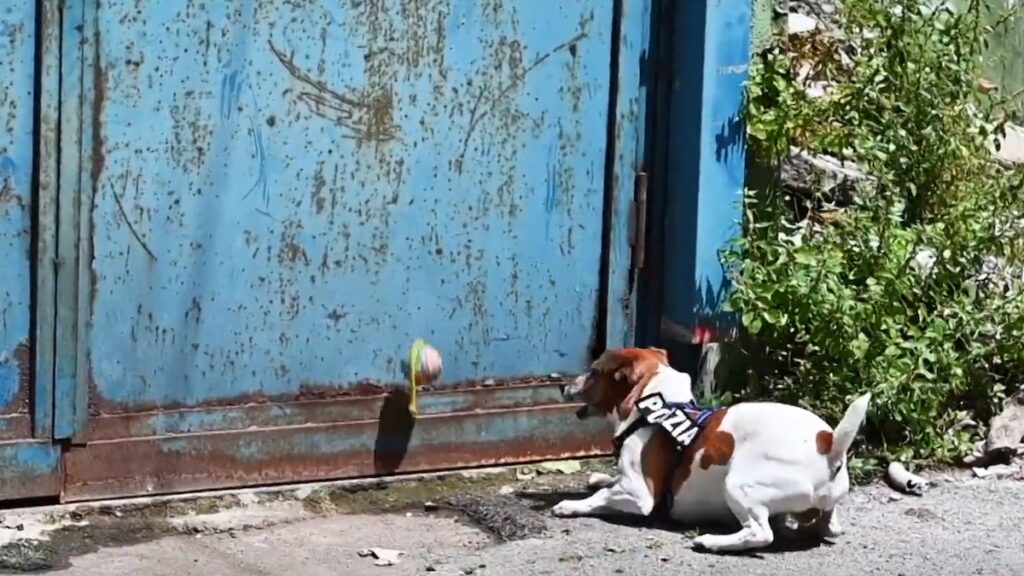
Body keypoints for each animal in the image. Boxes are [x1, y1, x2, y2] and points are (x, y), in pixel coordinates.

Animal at [557, 344, 868, 553]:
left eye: (593, 371)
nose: (562, 385)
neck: (656, 403)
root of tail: (829, 445)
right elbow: (608, 483)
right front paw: (600, 477)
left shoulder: (639, 493)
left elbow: (601, 497)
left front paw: (571, 505)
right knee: (830, 526)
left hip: (739, 483)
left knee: (760, 533)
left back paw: (712, 542)